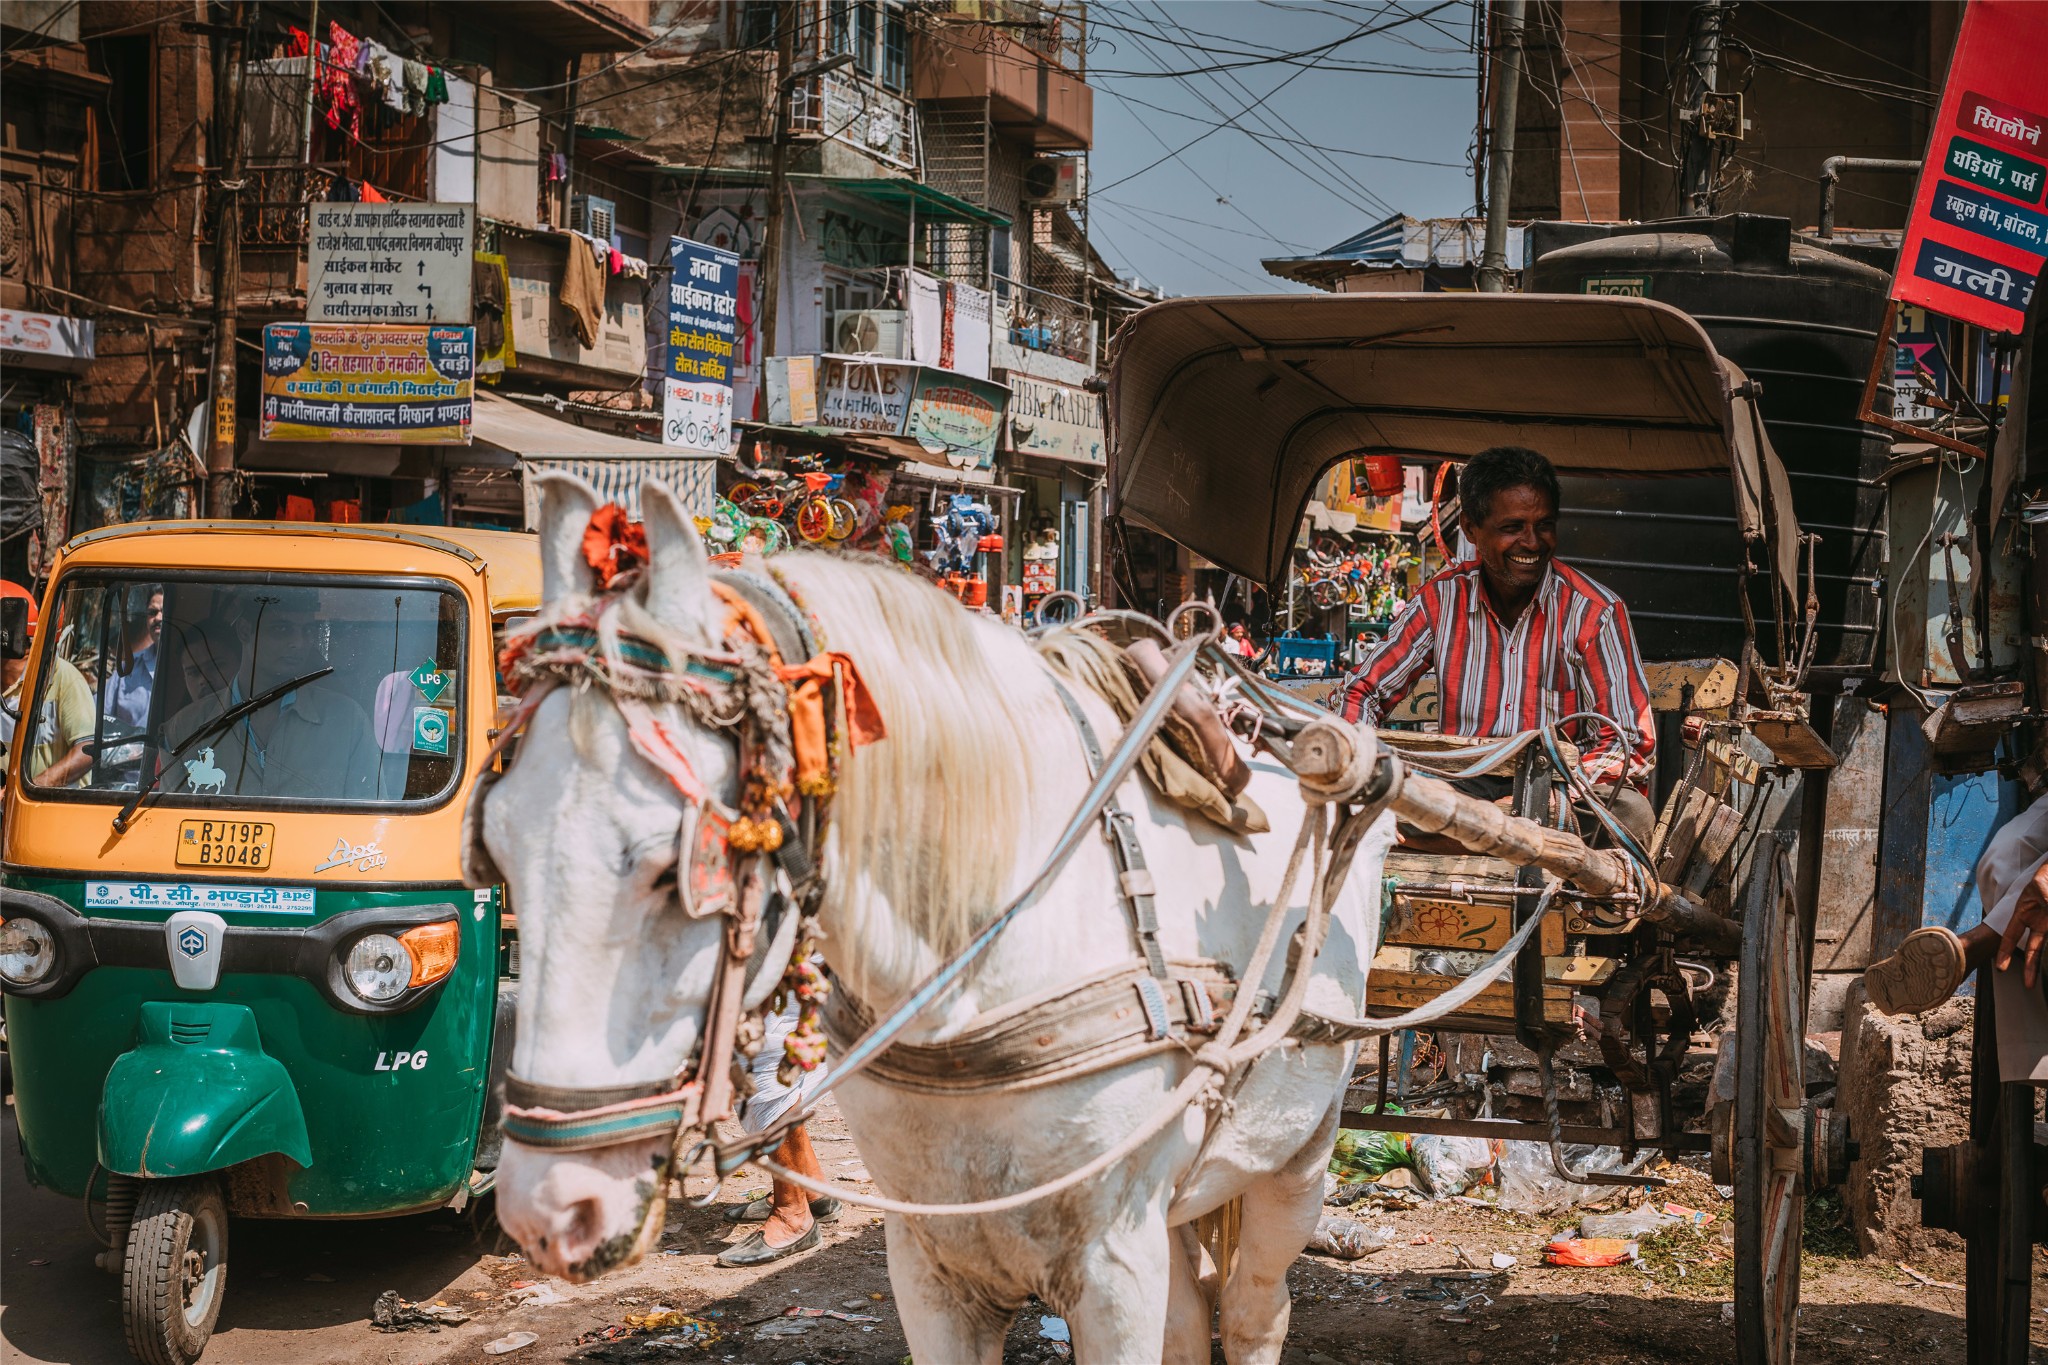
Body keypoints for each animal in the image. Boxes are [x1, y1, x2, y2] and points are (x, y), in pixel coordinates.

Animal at [487, 474, 1400, 1358]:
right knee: (1191, 1318)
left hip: (1299, 1144)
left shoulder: (1114, 1269)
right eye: (498, 845)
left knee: (1253, 1312)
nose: (550, 1208)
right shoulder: (928, 1263)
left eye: (673, 867)